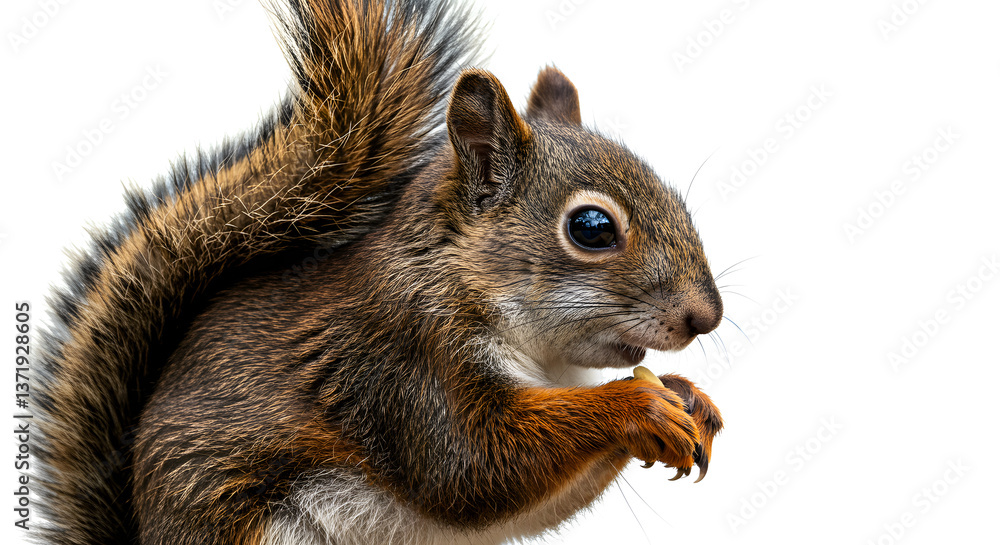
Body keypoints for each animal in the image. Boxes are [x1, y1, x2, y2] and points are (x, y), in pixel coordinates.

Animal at [34, 0, 725, 544]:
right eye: (592, 228)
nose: (707, 317)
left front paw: (688, 396)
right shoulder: (398, 364)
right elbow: (477, 466)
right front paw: (638, 402)